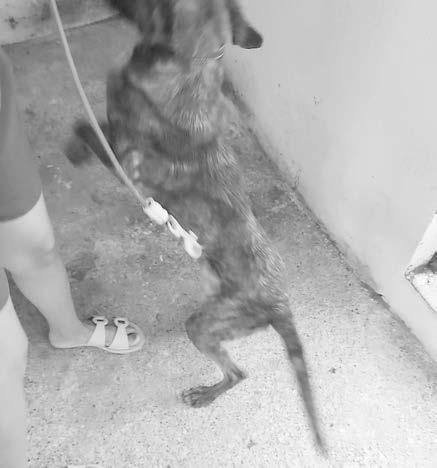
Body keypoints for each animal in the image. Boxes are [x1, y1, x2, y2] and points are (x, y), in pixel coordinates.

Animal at [67, 0, 325, 452]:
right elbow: (96, 124)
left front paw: (75, 146)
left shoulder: (127, 164)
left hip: (207, 325)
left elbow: (92, 130)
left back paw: (206, 394)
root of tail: (280, 302)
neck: (189, 68)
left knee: (236, 372)